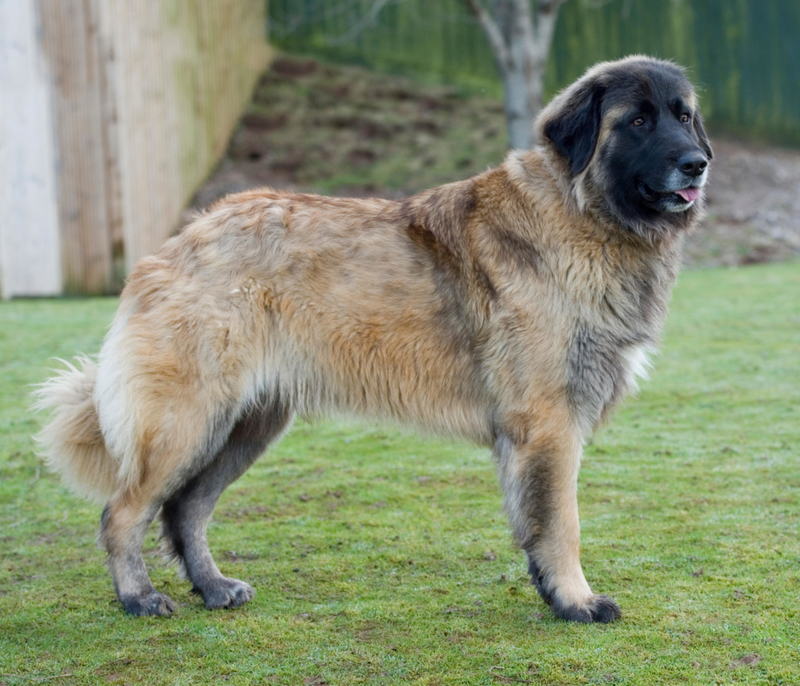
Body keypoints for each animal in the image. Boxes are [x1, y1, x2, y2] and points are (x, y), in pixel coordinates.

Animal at [36, 56, 712, 628]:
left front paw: (554, 594)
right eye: (637, 121)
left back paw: (213, 587)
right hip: (189, 421)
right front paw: (576, 601)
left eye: (683, 116)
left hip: (245, 424)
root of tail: (180, 240)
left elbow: (536, 524)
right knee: (123, 512)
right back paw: (138, 596)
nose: (697, 165)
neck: (580, 213)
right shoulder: (548, 423)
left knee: (185, 510)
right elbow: (561, 523)